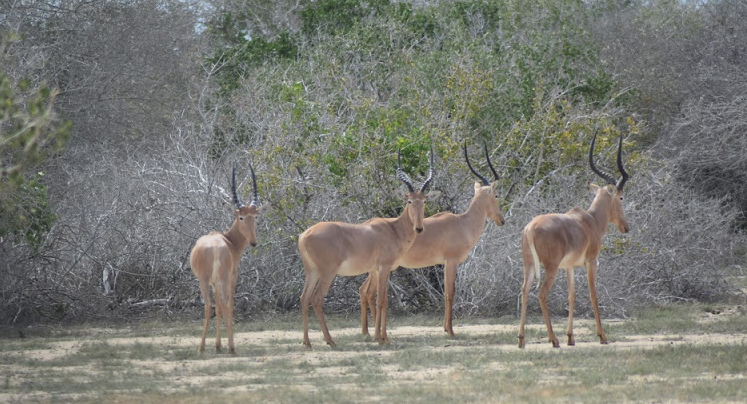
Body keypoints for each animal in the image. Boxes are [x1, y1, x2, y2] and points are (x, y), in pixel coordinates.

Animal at [189, 164, 267, 355]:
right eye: (241, 216)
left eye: (255, 216)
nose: (253, 242)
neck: (227, 240)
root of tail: (216, 248)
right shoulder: (232, 278)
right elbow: (229, 305)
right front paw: (222, 344)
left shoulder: (214, 282)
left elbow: (217, 306)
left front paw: (217, 344)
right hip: (224, 279)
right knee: (225, 304)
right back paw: (231, 346)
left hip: (204, 280)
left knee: (209, 305)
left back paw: (202, 347)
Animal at [298, 148, 440, 347]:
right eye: (409, 201)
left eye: (424, 201)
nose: (419, 228)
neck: (393, 229)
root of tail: (305, 235)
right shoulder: (384, 268)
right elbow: (381, 300)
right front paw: (381, 339)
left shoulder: (378, 270)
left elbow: (380, 299)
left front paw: (382, 337)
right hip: (327, 273)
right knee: (316, 299)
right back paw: (330, 341)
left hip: (312, 272)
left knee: (304, 298)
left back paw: (307, 342)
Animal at [359, 142, 506, 337]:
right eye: (496, 195)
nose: (501, 220)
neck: (462, 223)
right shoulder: (451, 262)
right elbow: (450, 293)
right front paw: (451, 331)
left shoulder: (443, 264)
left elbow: (444, 294)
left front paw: (444, 328)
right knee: (368, 292)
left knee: (364, 291)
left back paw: (366, 332)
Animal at [518, 131, 630, 348]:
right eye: (621, 197)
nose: (625, 227)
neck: (591, 220)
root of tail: (531, 228)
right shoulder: (591, 262)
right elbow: (593, 294)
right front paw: (602, 336)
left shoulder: (569, 267)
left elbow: (572, 296)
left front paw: (571, 337)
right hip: (550, 267)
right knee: (541, 294)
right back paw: (553, 340)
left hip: (529, 265)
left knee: (524, 291)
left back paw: (521, 340)